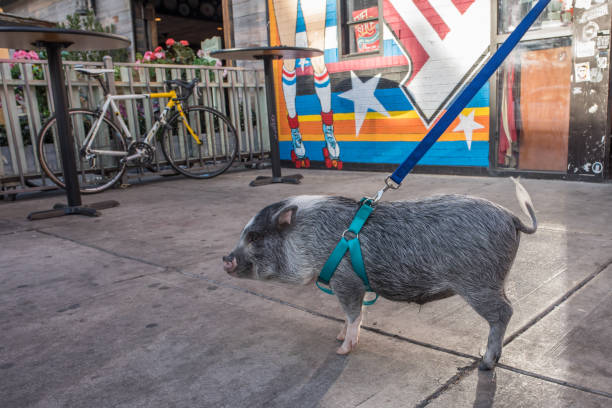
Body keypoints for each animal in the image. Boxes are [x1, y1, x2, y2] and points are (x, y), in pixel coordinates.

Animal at [221, 178, 536, 370]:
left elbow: (353, 314)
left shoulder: (346, 280)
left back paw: (485, 363)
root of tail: (512, 217)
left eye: (255, 237)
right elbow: (355, 314)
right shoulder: (354, 284)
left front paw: (342, 350)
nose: (226, 259)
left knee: (504, 312)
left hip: (479, 281)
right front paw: (337, 336)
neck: (308, 238)